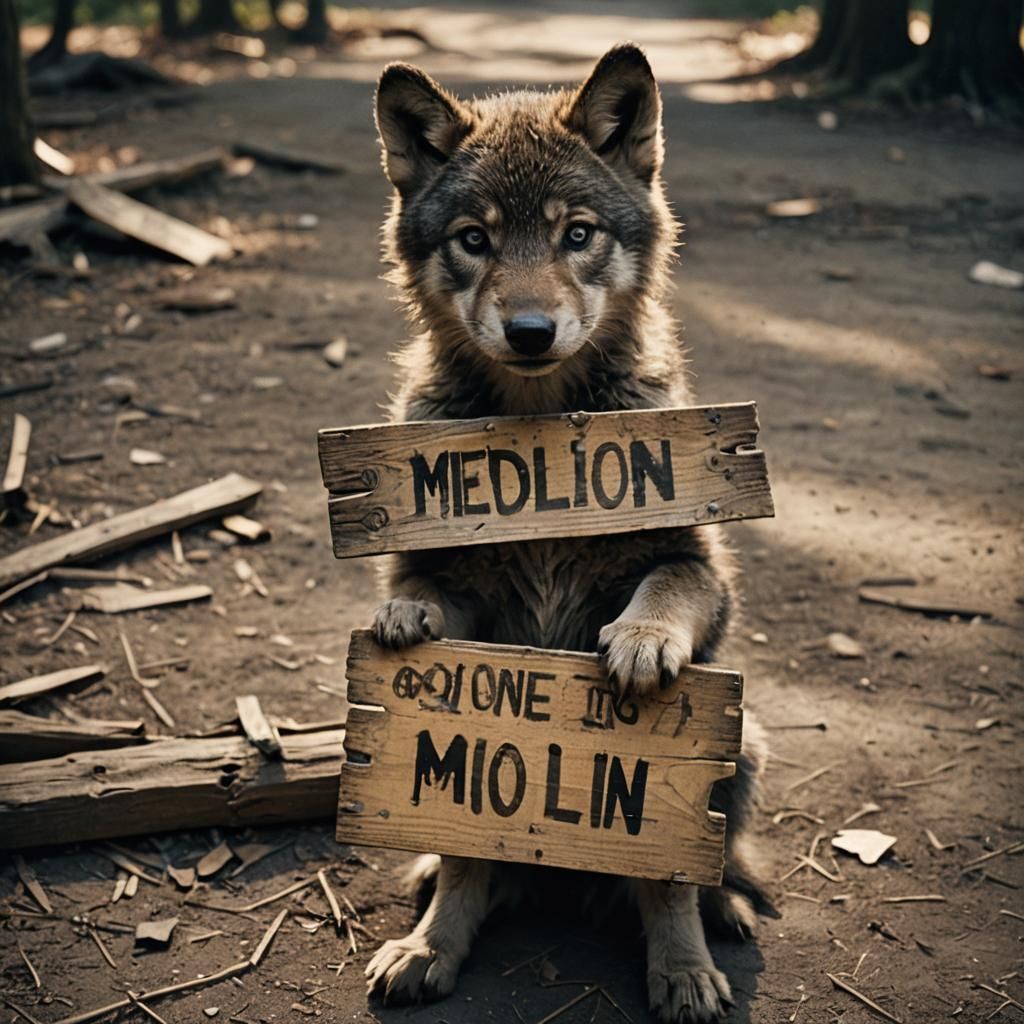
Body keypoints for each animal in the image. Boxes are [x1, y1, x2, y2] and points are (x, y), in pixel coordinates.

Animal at [362, 44, 766, 1024]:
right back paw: (433, 912)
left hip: (743, 745)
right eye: (475, 239)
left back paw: (725, 909)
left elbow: (665, 876)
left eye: (576, 234)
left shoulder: (699, 571)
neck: (542, 428)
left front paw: (683, 972)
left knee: (708, 859)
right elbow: (421, 592)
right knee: (468, 860)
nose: (531, 331)